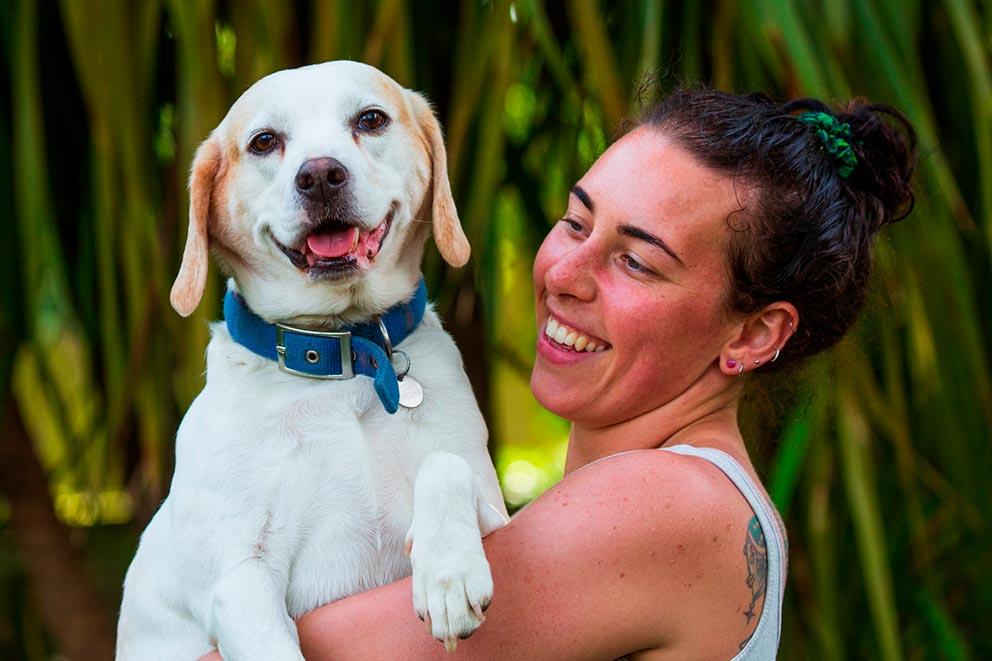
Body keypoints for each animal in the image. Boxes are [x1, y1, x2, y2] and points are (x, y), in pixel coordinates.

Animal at [116, 59, 508, 656]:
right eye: (264, 141)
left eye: (370, 119)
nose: (320, 174)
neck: (344, 361)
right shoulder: (240, 579)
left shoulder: (502, 516)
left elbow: (445, 464)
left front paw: (449, 573)